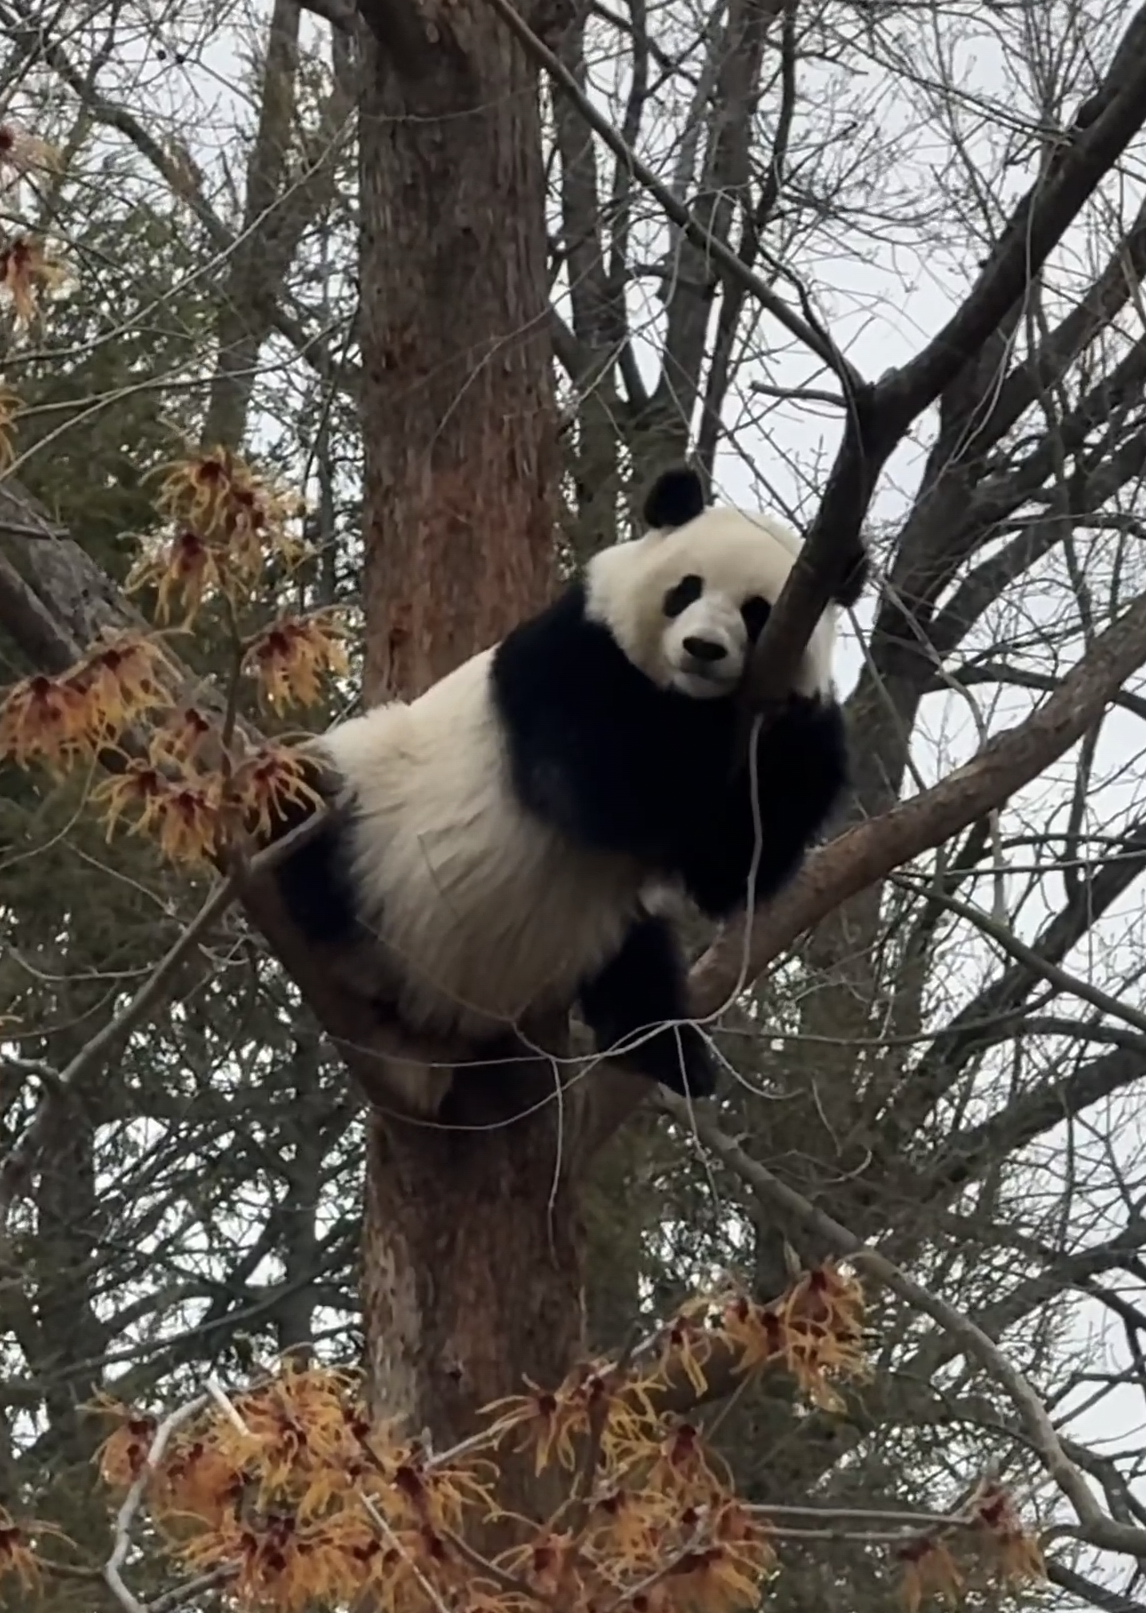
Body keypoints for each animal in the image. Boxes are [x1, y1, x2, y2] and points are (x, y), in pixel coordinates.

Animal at [266, 467, 865, 1122]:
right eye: (686, 589)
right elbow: (597, 786)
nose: (703, 650)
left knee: (638, 962)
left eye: (757, 612)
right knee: (300, 814)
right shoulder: (570, 659)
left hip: (594, 928)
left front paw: (805, 722)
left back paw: (674, 1055)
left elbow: (730, 869)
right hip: (358, 808)